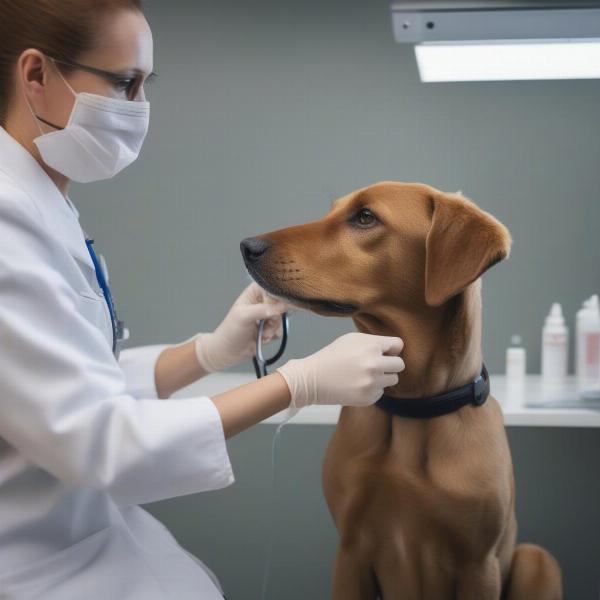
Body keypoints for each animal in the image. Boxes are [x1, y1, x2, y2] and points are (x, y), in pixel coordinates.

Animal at [239, 180, 564, 596]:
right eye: (332, 210)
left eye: (365, 217)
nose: (247, 246)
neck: (414, 405)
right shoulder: (350, 552)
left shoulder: (479, 564)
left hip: (538, 560)